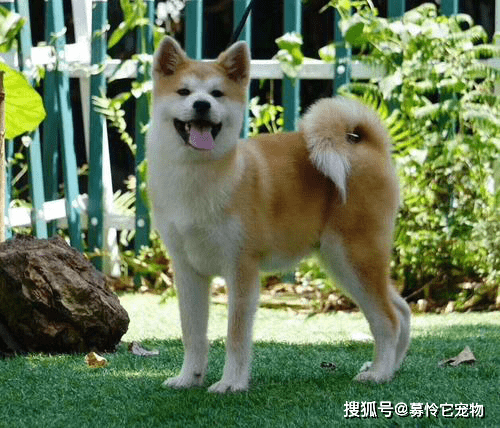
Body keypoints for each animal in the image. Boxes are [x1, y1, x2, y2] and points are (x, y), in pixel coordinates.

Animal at [146, 36, 412, 392]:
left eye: (217, 94)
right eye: (184, 91)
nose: (202, 105)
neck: (199, 179)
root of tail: (368, 146)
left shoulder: (241, 268)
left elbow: (235, 336)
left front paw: (231, 383)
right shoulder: (188, 270)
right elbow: (193, 334)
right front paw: (189, 377)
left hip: (355, 256)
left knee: (388, 319)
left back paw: (379, 373)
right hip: (342, 263)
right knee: (402, 310)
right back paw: (391, 367)